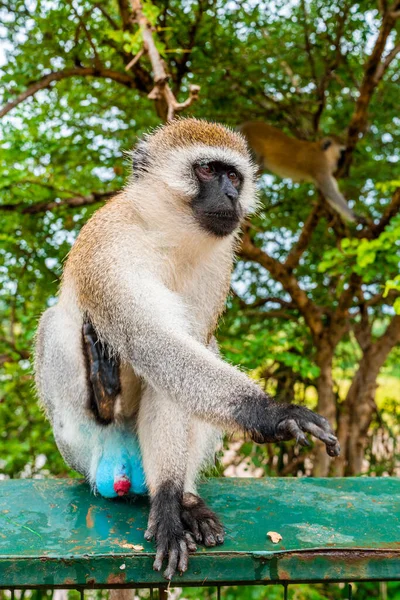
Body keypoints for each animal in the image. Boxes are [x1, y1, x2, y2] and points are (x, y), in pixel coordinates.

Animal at [35, 115, 340, 580]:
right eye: (208, 171)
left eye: (234, 175)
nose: (232, 195)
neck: (169, 236)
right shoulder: (109, 246)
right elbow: (152, 341)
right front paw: (271, 413)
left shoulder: (219, 263)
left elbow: (176, 361)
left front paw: (169, 498)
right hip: (78, 447)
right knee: (56, 327)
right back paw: (104, 398)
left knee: (200, 352)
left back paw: (181, 497)